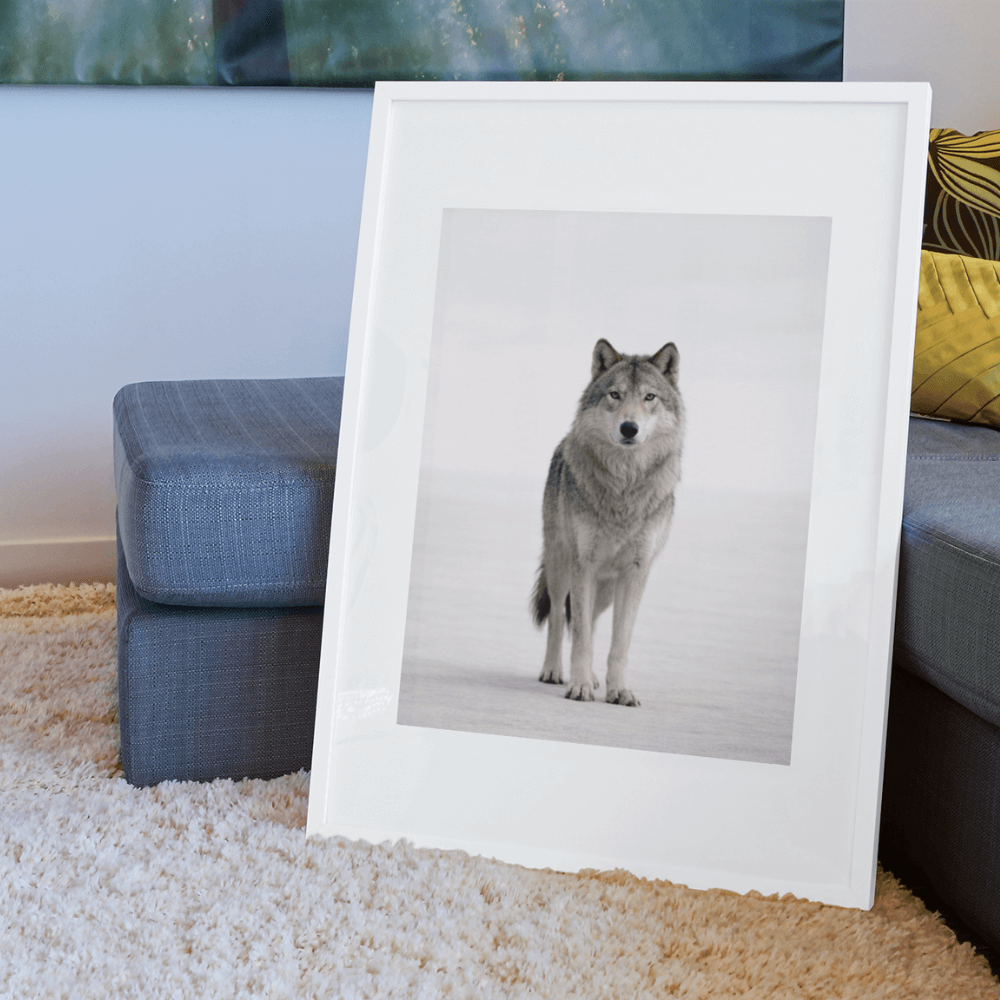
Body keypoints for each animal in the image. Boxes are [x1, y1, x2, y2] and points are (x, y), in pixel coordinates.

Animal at [531, 338, 684, 707]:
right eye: (615, 394)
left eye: (649, 397)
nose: (629, 428)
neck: (624, 490)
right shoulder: (583, 565)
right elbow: (579, 635)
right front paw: (579, 687)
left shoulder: (636, 572)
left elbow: (619, 642)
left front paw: (619, 690)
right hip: (561, 567)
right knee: (560, 617)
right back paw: (555, 671)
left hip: (606, 590)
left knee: (590, 622)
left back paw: (593, 677)